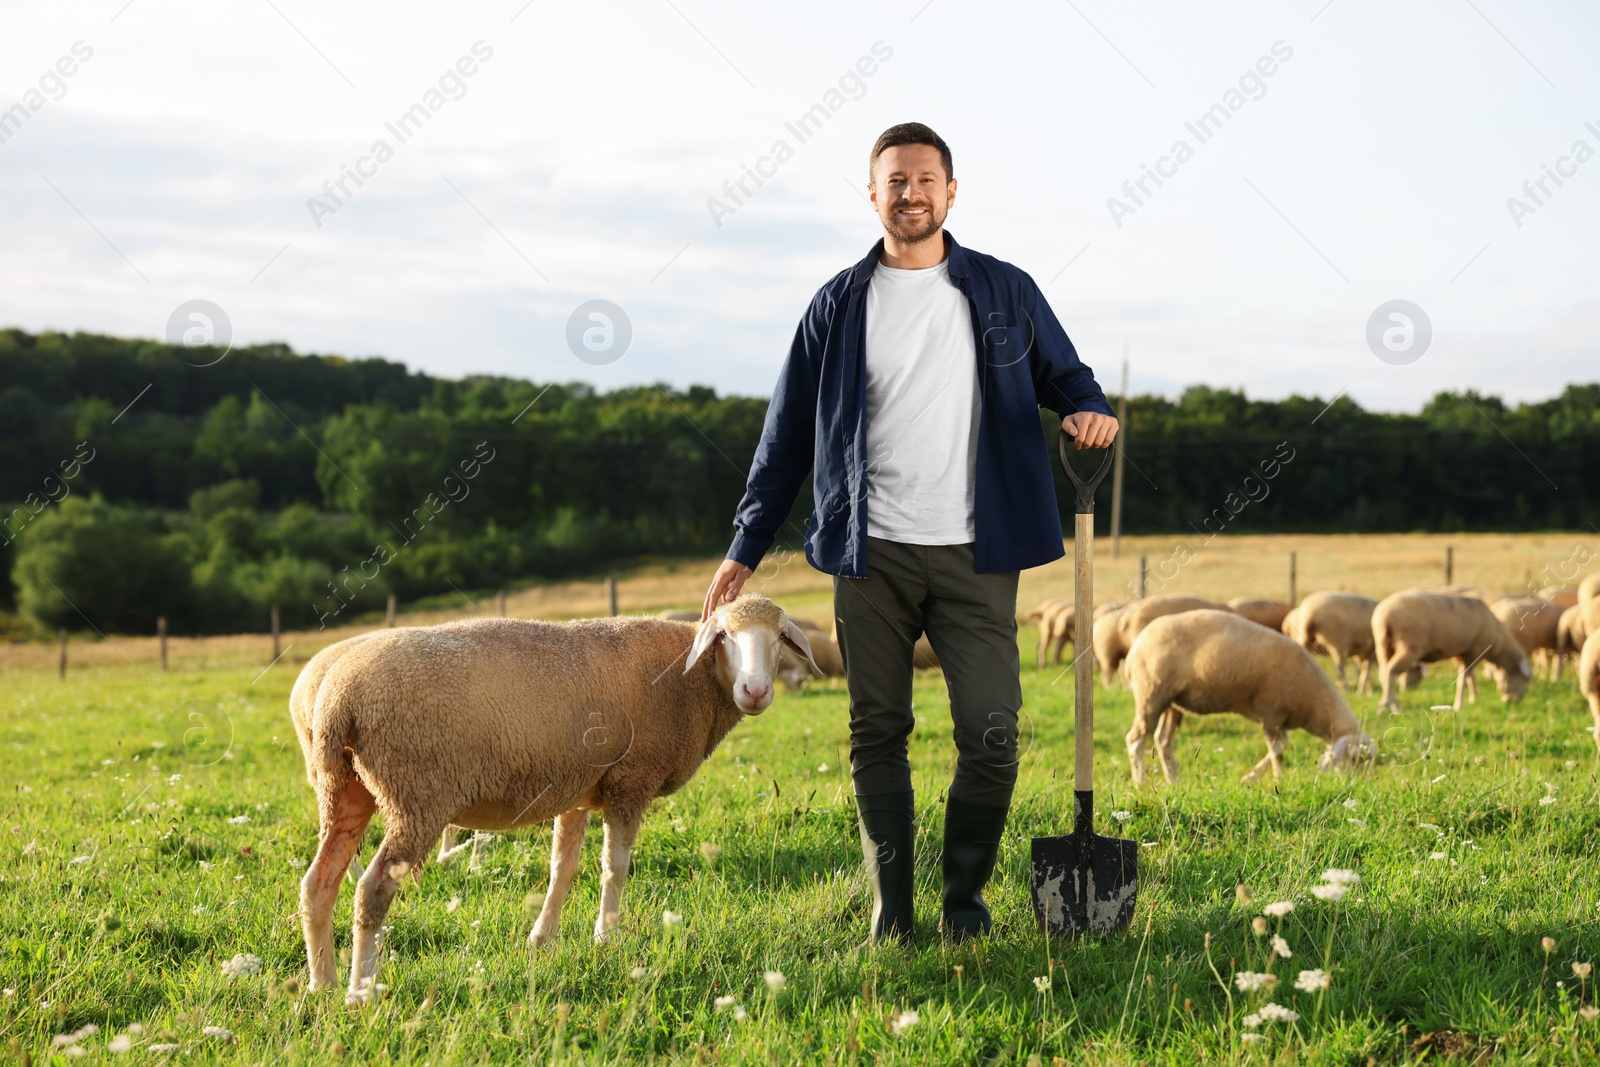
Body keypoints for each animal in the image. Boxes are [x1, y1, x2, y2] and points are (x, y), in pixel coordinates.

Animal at [291, 591, 812, 1004]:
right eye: (723, 635)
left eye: (780, 636)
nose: (755, 690)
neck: (690, 680)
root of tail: (337, 701)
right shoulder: (631, 780)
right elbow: (615, 867)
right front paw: (606, 938)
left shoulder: (579, 788)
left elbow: (563, 866)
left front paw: (542, 938)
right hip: (416, 794)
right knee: (372, 889)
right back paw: (360, 993)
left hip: (345, 787)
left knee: (319, 882)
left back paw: (323, 984)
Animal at [1120, 607, 1369, 783]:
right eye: (1354, 759)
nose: (1354, 786)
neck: (1313, 704)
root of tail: (1136, 646)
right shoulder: (1271, 713)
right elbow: (1278, 751)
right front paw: (1279, 780)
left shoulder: (1279, 720)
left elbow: (1281, 746)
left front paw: (1250, 778)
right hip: (1151, 694)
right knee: (1135, 739)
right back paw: (1140, 783)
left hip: (1171, 702)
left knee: (1162, 741)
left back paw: (1174, 781)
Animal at [1369, 591, 1529, 716]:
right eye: (1523, 679)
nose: (1516, 701)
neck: (1498, 641)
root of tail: (1385, 616)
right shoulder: (1474, 652)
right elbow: (1463, 680)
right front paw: (1460, 705)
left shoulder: (1463, 654)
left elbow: (1470, 678)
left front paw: (1473, 698)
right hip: (1409, 646)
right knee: (1391, 671)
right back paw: (1388, 706)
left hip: (1383, 645)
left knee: (1384, 674)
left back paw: (1391, 704)